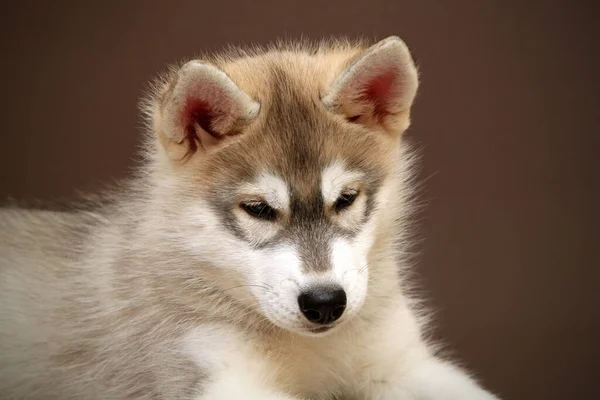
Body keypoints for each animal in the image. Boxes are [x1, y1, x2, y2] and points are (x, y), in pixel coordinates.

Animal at [0, 36, 496, 398]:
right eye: (258, 209)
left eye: (346, 198)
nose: (324, 303)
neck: (306, 349)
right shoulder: (207, 367)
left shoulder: (401, 363)